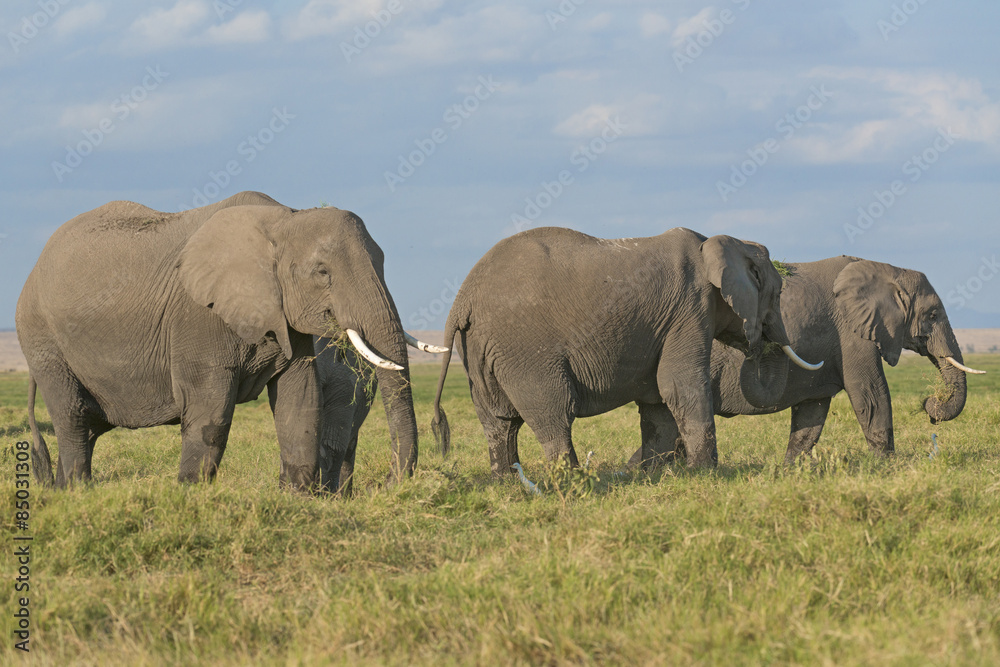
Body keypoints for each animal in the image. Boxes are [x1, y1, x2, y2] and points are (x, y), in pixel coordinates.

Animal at [16, 191, 421, 490]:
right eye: (322, 273)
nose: (387, 483)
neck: (283, 217)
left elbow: (300, 398)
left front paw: (296, 500)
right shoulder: (197, 316)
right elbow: (210, 407)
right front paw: (189, 497)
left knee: (89, 426)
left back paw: (62, 492)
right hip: (42, 338)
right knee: (71, 416)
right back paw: (78, 494)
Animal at [429, 226, 823, 475]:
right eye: (776, 293)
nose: (761, 343)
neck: (716, 242)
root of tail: (462, 300)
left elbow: (658, 401)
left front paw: (654, 476)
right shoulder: (690, 307)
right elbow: (679, 384)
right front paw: (707, 474)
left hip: (480, 349)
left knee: (498, 420)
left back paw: (507, 484)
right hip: (524, 347)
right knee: (554, 410)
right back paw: (573, 482)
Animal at [626, 256, 986, 468]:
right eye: (933, 314)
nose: (931, 408)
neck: (887, 269)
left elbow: (812, 414)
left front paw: (788, 471)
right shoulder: (852, 333)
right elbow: (871, 395)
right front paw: (890, 467)